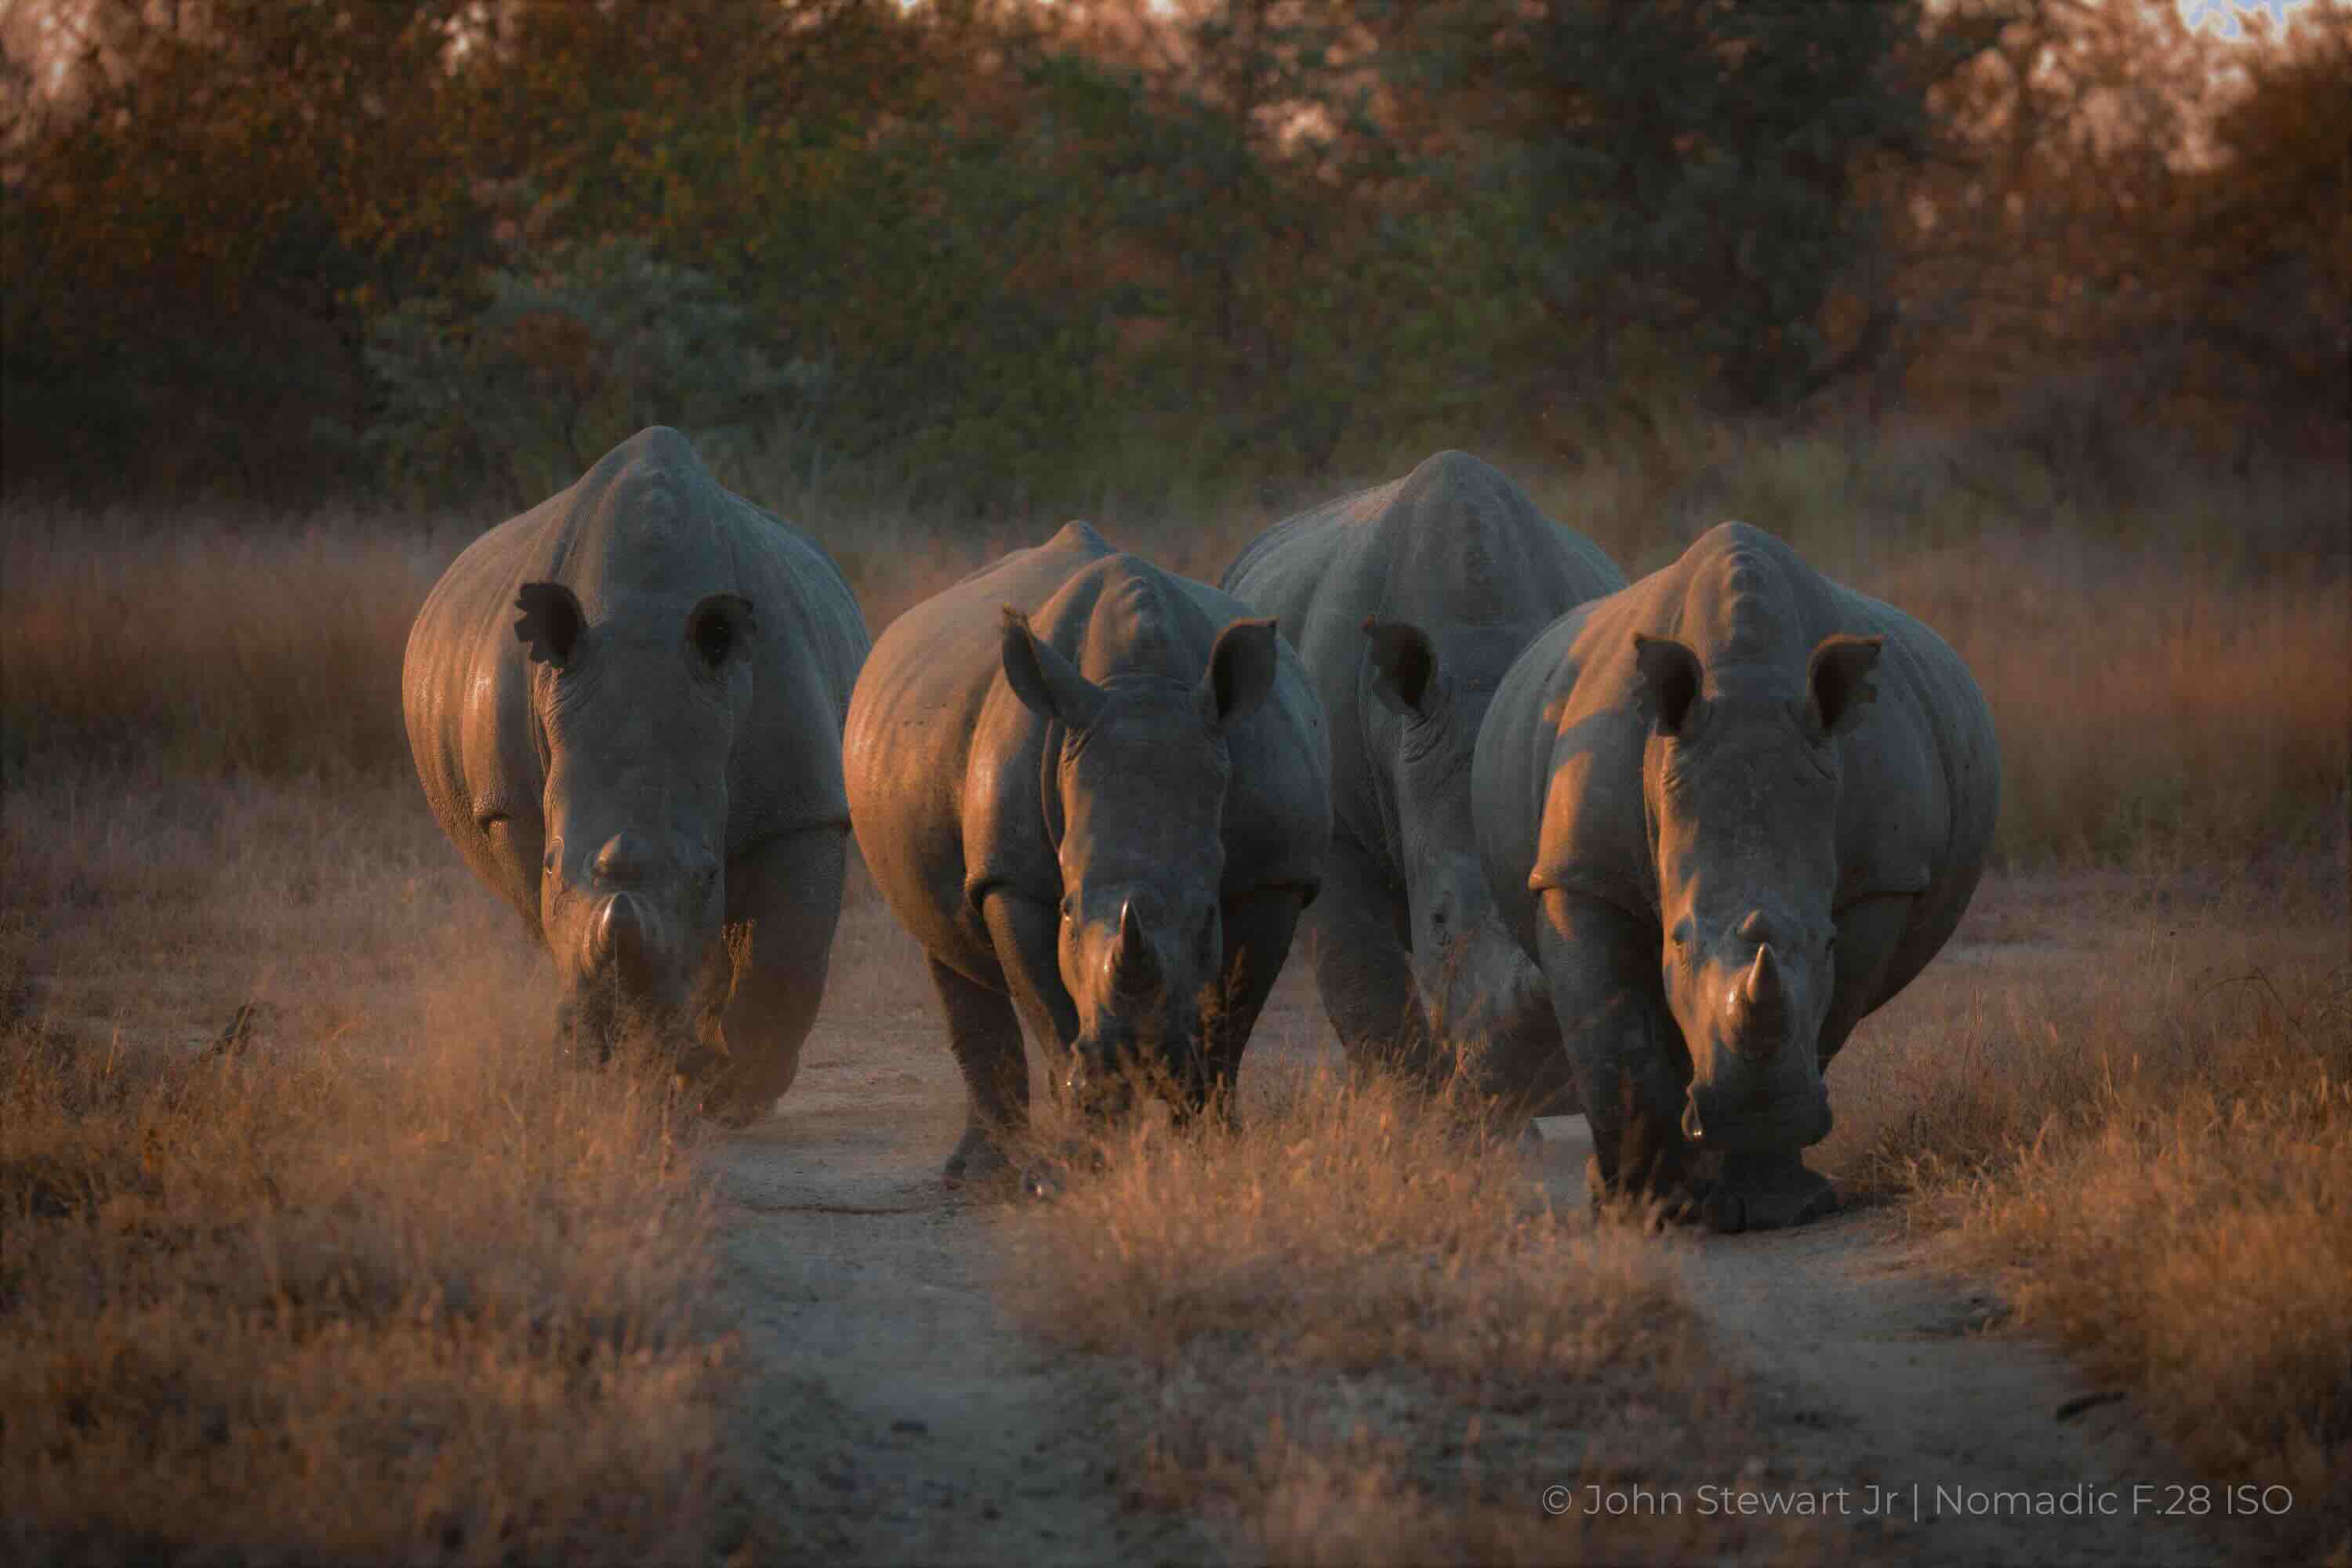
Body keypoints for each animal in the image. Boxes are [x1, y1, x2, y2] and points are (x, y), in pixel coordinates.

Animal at [403, 427, 870, 1122]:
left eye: (707, 874)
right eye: (550, 865)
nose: (619, 1016)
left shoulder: (803, 802)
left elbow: (786, 958)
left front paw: (729, 1095)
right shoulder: (509, 804)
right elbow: (548, 917)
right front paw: (630, 1073)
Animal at [845, 522, 1332, 1182]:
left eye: (1208, 917)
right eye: (1069, 911)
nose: (1135, 1055)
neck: (1143, 685)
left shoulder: (1272, 876)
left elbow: (1229, 1023)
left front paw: (1208, 1149)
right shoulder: (1012, 876)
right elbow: (1050, 1009)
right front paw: (1086, 1155)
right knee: (944, 940)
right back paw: (982, 1175)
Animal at [1473, 522, 1998, 1231]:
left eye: (1826, 942)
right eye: (1678, 941)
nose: (1749, 1111)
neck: (1744, 675)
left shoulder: (1880, 881)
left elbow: (1824, 1021)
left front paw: (1772, 1205)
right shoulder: (1580, 871)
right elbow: (1614, 1034)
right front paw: (1644, 1211)